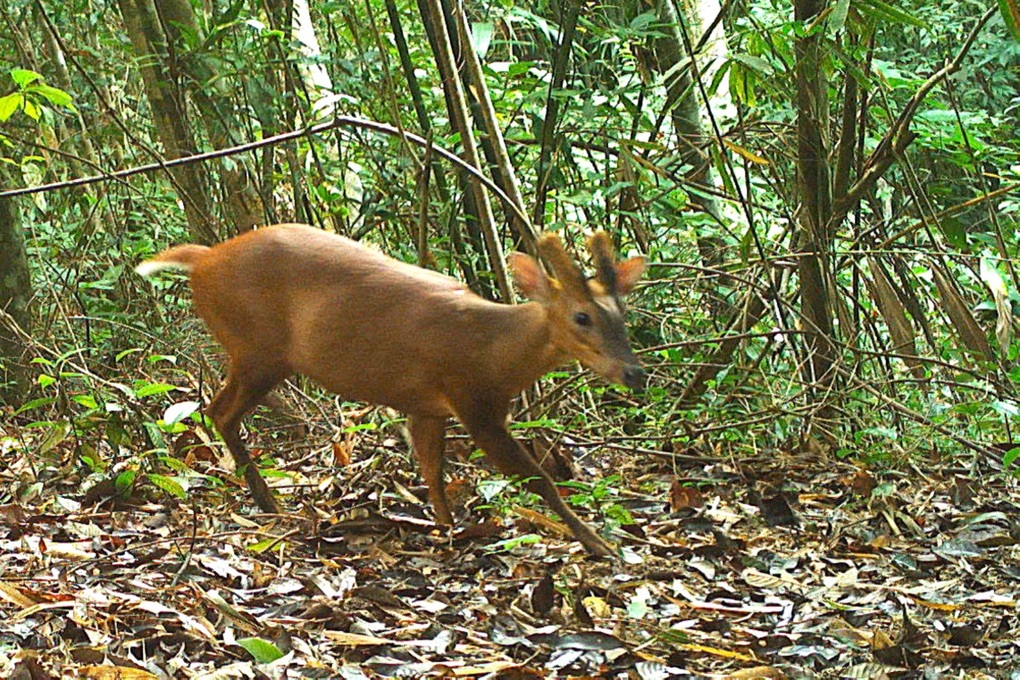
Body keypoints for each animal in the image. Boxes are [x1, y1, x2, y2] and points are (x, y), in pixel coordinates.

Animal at [135, 226, 644, 554]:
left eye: (622, 313)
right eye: (582, 316)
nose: (635, 373)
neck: (494, 349)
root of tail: (202, 260)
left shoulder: (427, 407)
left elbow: (433, 471)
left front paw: (447, 529)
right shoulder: (475, 403)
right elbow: (539, 479)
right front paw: (598, 544)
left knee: (219, 411)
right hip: (257, 348)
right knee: (220, 411)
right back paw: (268, 501)